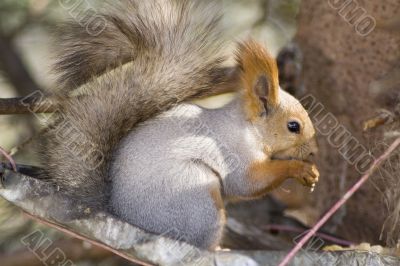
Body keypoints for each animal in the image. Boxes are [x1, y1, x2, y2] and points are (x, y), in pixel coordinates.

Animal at [40, 0, 320, 249]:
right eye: (293, 126)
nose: (314, 152)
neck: (247, 129)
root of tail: (120, 213)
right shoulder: (233, 153)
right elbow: (248, 183)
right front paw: (299, 169)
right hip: (197, 198)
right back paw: (217, 249)